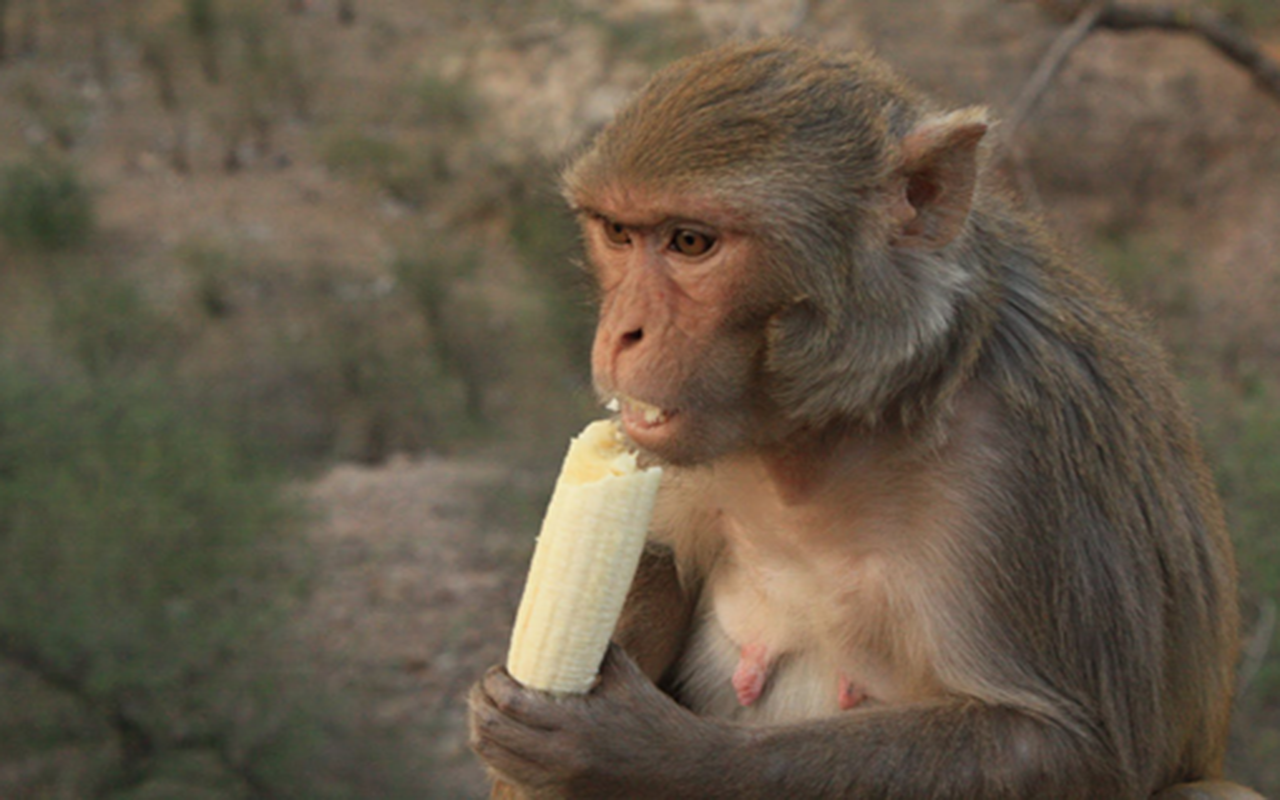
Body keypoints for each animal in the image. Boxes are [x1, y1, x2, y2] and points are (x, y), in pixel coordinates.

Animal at [469, 39, 1256, 799]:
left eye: (691, 242)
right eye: (618, 234)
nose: (620, 333)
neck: (838, 427)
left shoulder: (1034, 461)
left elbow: (1074, 747)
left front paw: (628, 750)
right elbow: (658, 556)